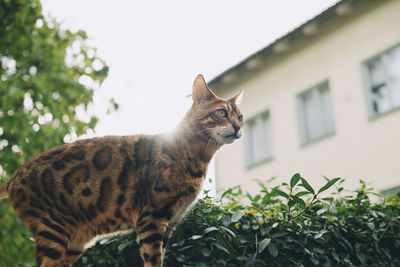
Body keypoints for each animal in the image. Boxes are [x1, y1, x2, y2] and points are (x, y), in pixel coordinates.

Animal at [0, 75, 244, 267]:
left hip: (72, 242)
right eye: (222, 112)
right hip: (52, 231)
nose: (238, 127)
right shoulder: (151, 218)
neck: (196, 157)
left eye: (240, 116)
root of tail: (13, 178)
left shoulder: (170, 223)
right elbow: (153, 260)